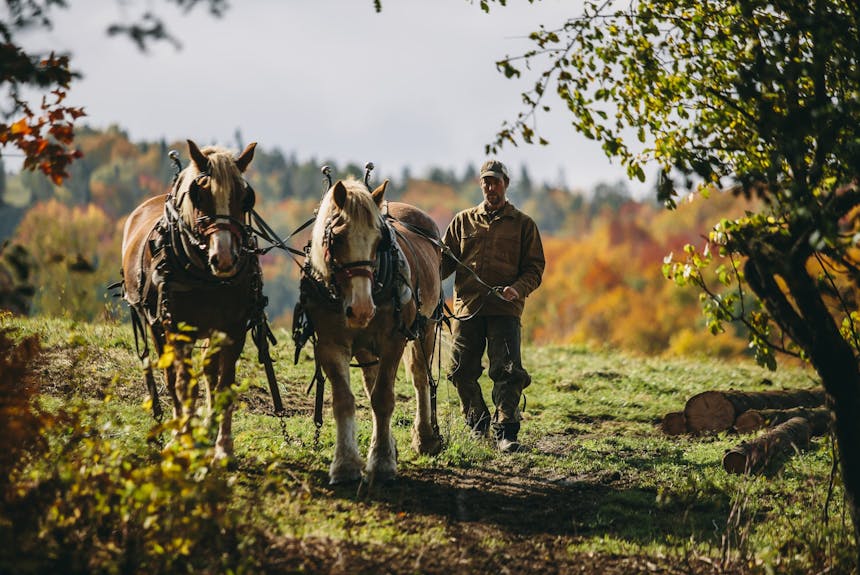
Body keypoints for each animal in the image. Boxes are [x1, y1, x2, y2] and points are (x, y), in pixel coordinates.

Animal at [120, 138, 258, 460]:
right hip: (155, 325)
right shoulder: (176, 328)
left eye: (244, 197)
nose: (224, 258)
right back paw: (180, 430)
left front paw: (223, 447)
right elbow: (183, 383)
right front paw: (185, 438)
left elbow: (223, 383)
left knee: (207, 370)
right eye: (200, 195)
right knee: (172, 376)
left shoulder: (233, 330)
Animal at [300, 178, 444, 484]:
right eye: (337, 238)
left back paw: (424, 438)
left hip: (425, 327)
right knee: (370, 378)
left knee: (420, 378)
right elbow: (344, 400)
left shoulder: (393, 340)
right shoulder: (330, 344)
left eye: (380, 241)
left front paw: (381, 463)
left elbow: (383, 397)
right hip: (366, 347)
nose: (362, 309)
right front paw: (345, 465)